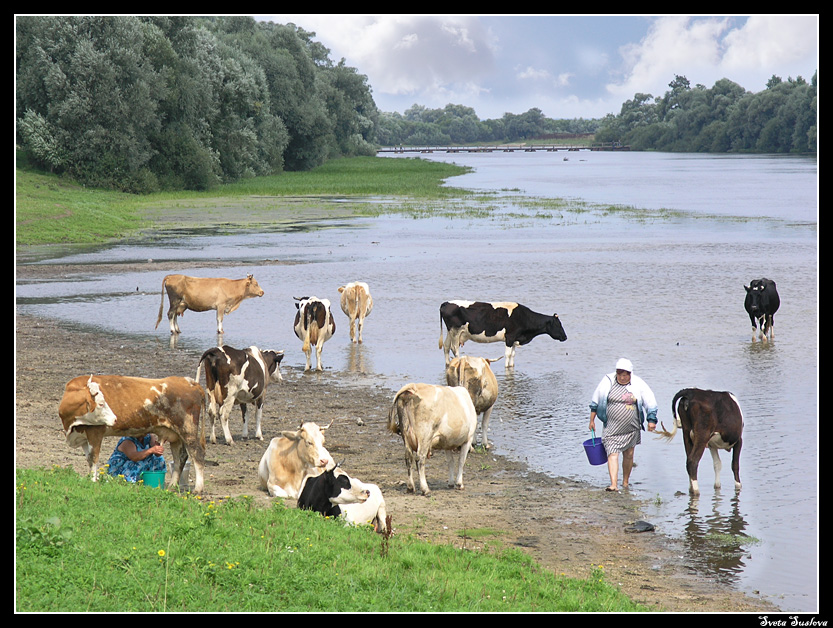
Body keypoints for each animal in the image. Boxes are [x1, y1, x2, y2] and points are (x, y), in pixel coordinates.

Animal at [57, 376, 206, 494]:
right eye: (101, 403)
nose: (115, 419)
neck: (72, 425)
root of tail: (190, 382)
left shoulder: (95, 432)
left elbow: (93, 458)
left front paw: (93, 480)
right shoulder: (82, 436)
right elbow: (89, 459)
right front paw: (90, 479)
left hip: (188, 429)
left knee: (197, 454)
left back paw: (198, 488)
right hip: (175, 435)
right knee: (180, 457)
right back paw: (172, 486)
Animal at [436, 300, 564, 368]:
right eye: (558, 324)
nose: (565, 337)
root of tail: (446, 303)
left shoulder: (514, 338)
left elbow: (513, 355)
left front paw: (511, 366)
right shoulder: (510, 337)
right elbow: (507, 354)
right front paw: (507, 366)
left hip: (450, 332)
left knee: (446, 347)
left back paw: (448, 364)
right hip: (455, 332)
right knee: (454, 348)